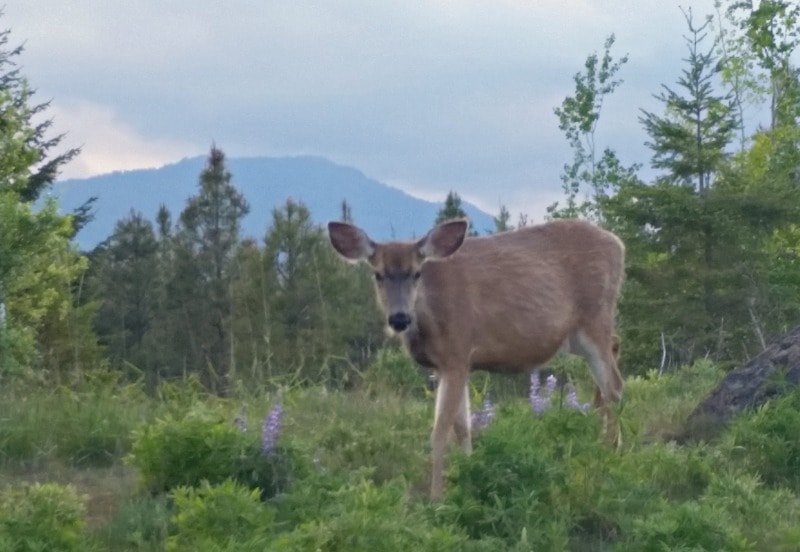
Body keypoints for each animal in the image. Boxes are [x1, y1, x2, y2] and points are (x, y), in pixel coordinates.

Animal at [324, 218, 624, 498]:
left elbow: (440, 430)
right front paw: (470, 474)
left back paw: (610, 455)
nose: (399, 318)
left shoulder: (457, 353)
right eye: (378, 274)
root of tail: (618, 244)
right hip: (579, 338)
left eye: (416, 273)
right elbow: (463, 426)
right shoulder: (450, 365)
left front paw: (436, 497)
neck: (430, 315)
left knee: (614, 387)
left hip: (595, 317)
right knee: (614, 363)